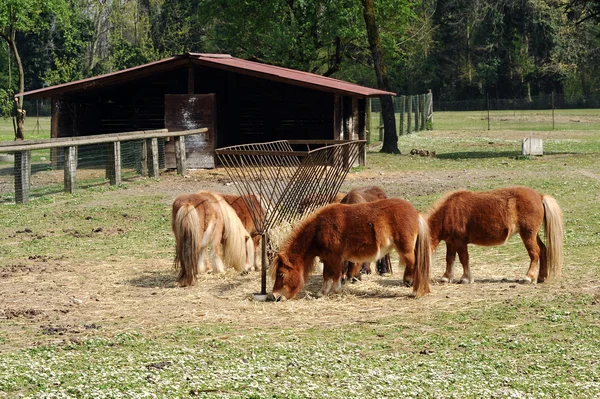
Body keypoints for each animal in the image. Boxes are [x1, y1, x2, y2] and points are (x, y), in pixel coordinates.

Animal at [272, 198, 432, 302]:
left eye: (281, 274)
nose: (275, 296)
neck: (319, 228)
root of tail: (416, 212)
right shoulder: (328, 258)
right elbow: (327, 275)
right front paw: (323, 293)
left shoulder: (334, 257)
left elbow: (334, 275)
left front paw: (333, 291)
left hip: (406, 251)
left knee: (416, 266)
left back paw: (416, 290)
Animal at [426, 187, 564, 284]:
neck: (448, 212)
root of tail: (539, 196)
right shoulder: (451, 242)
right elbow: (449, 259)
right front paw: (446, 277)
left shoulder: (460, 242)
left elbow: (464, 259)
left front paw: (466, 278)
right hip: (533, 235)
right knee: (543, 249)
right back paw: (541, 277)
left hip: (527, 235)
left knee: (535, 253)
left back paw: (528, 277)